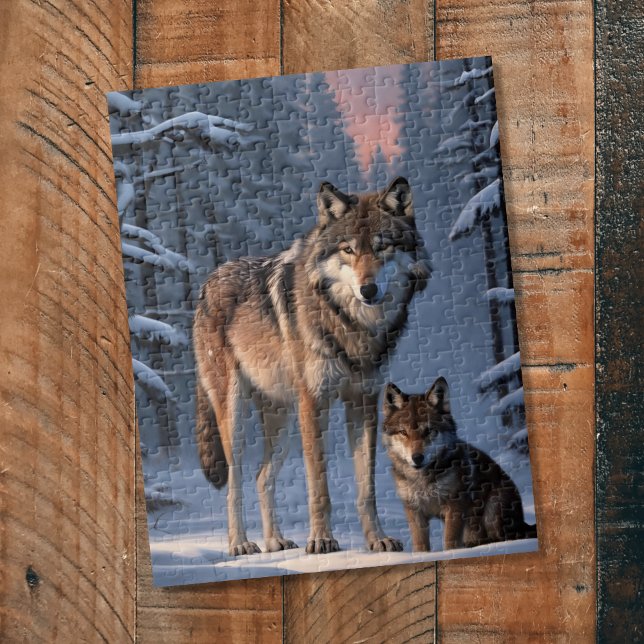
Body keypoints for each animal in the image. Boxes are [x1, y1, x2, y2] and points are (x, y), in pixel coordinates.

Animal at [194, 177, 430, 556]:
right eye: (348, 249)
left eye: (383, 248)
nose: (368, 289)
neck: (352, 325)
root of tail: (207, 282)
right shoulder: (314, 403)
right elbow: (319, 486)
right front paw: (321, 540)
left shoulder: (362, 401)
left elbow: (366, 488)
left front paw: (377, 540)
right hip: (237, 416)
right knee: (236, 480)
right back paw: (241, 544)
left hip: (285, 421)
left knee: (262, 477)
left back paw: (275, 541)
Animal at [382, 377, 537, 551]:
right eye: (403, 432)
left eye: (429, 431)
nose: (417, 458)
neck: (422, 479)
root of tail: (522, 523)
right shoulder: (414, 511)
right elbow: (421, 546)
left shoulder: (455, 506)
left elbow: (450, 543)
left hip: (492, 510)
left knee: (501, 539)